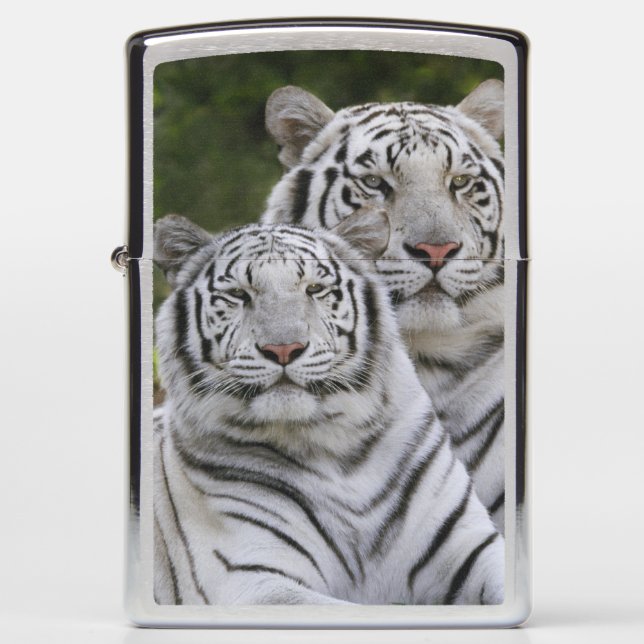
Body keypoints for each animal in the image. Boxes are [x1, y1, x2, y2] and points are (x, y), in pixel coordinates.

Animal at [152, 212, 504, 606]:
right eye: (239, 295)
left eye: (314, 289)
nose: (284, 349)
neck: (336, 448)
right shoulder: (254, 581)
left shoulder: (472, 544)